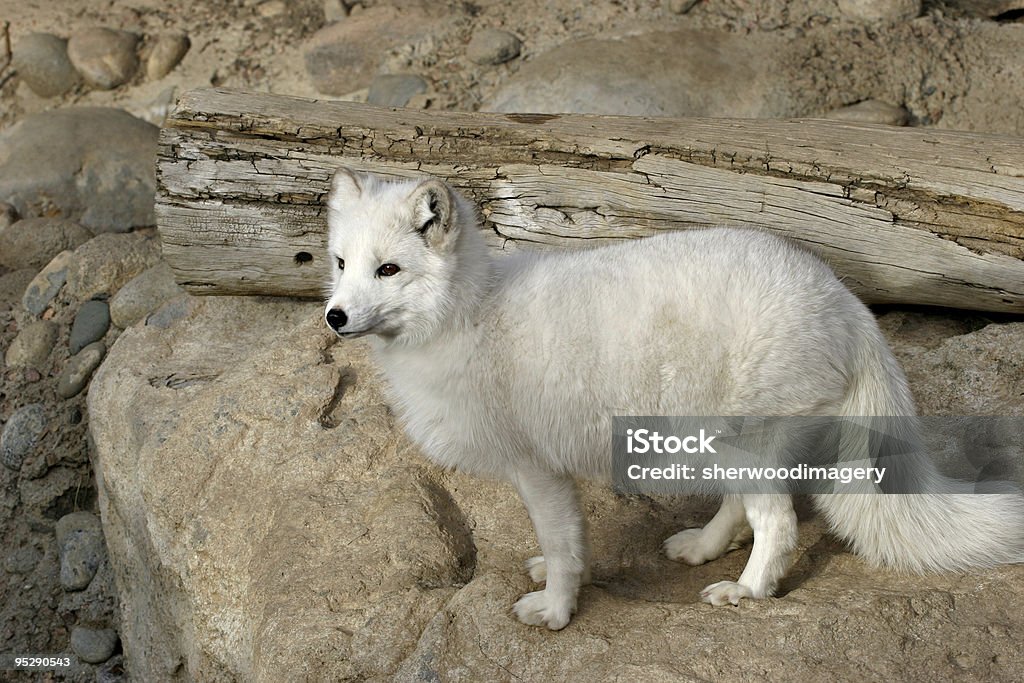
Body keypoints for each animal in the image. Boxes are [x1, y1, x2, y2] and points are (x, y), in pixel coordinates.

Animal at [323, 169, 1024, 630]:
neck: (470, 313)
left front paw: (557, 609)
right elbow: (565, 543)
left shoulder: (537, 467)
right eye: (339, 263)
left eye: (388, 270)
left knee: (779, 523)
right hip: (720, 441)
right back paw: (703, 548)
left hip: (743, 441)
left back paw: (746, 591)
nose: (334, 317)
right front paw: (557, 584)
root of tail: (846, 300)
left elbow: (563, 543)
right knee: (742, 509)